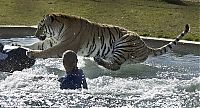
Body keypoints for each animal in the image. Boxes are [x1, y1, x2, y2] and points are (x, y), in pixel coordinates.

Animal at [21, 13, 189, 70]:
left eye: (40, 27)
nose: (35, 34)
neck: (58, 29)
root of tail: (146, 46)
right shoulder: (53, 41)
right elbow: (38, 45)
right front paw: (20, 45)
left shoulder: (63, 46)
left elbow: (46, 51)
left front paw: (31, 53)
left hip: (123, 43)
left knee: (116, 66)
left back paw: (99, 60)